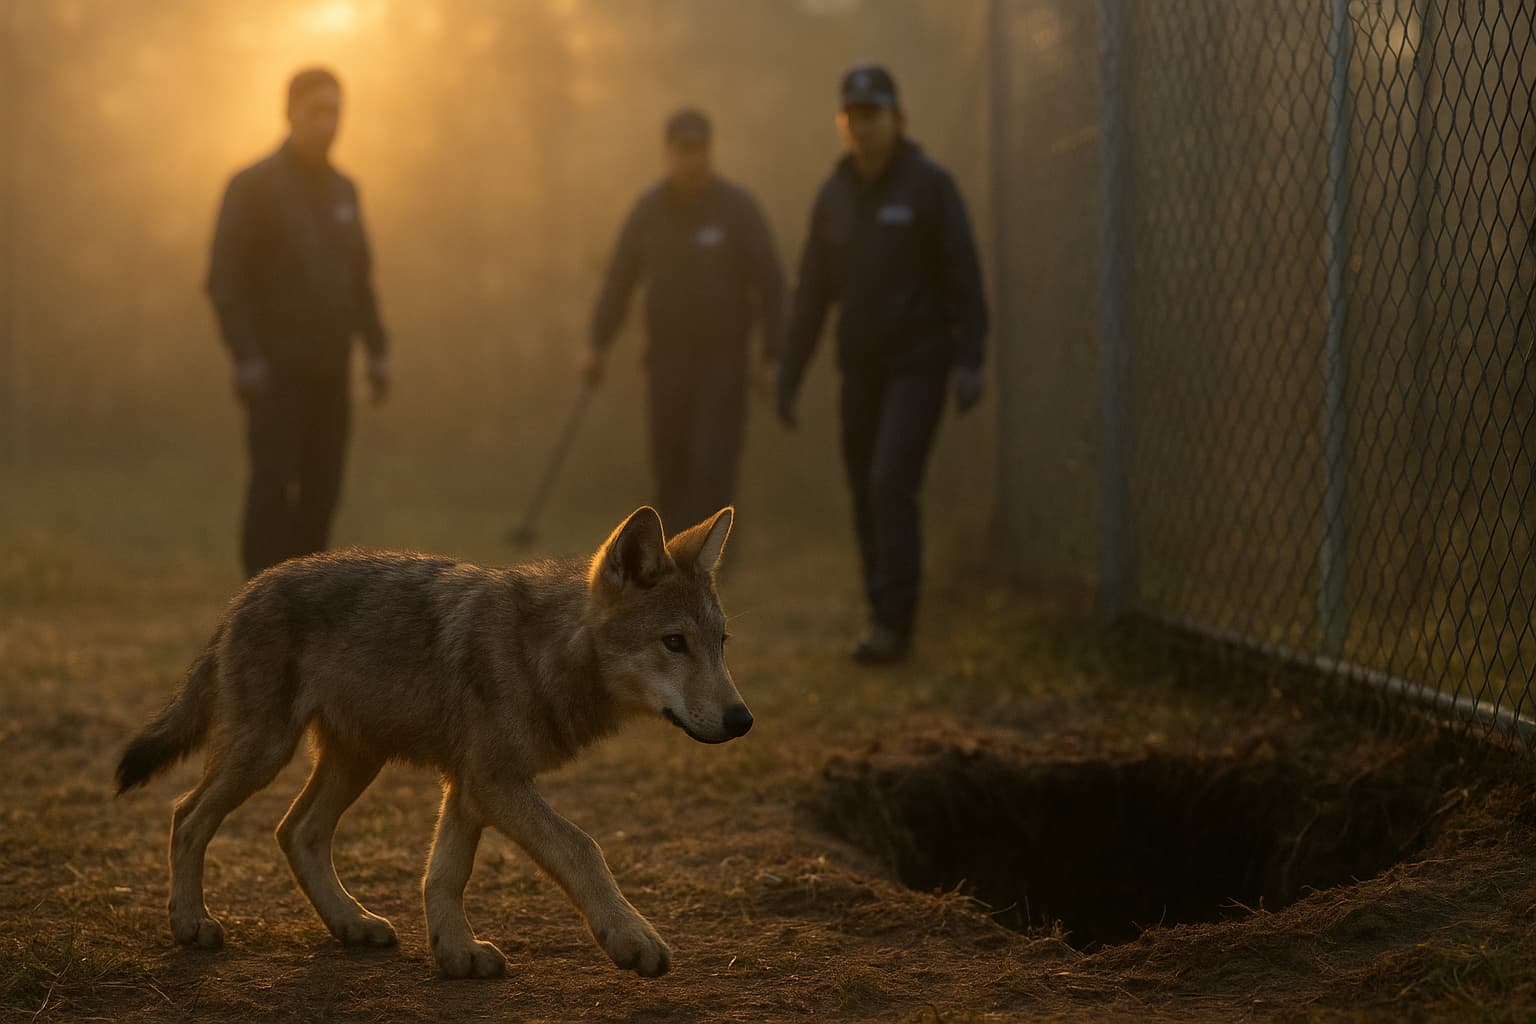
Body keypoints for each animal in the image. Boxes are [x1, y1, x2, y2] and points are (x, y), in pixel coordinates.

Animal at [114, 505, 749, 979]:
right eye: (674, 642)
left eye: (721, 643)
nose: (742, 720)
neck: (540, 652)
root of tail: (246, 591)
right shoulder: (493, 782)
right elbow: (582, 847)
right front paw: (631, 938)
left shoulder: (469, 786)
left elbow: (445, 874)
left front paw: (456, 953)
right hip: (266, 753)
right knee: (187, 814)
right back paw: (190, 923)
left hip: (356, 760)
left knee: (295, 831)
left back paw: (352, 923)